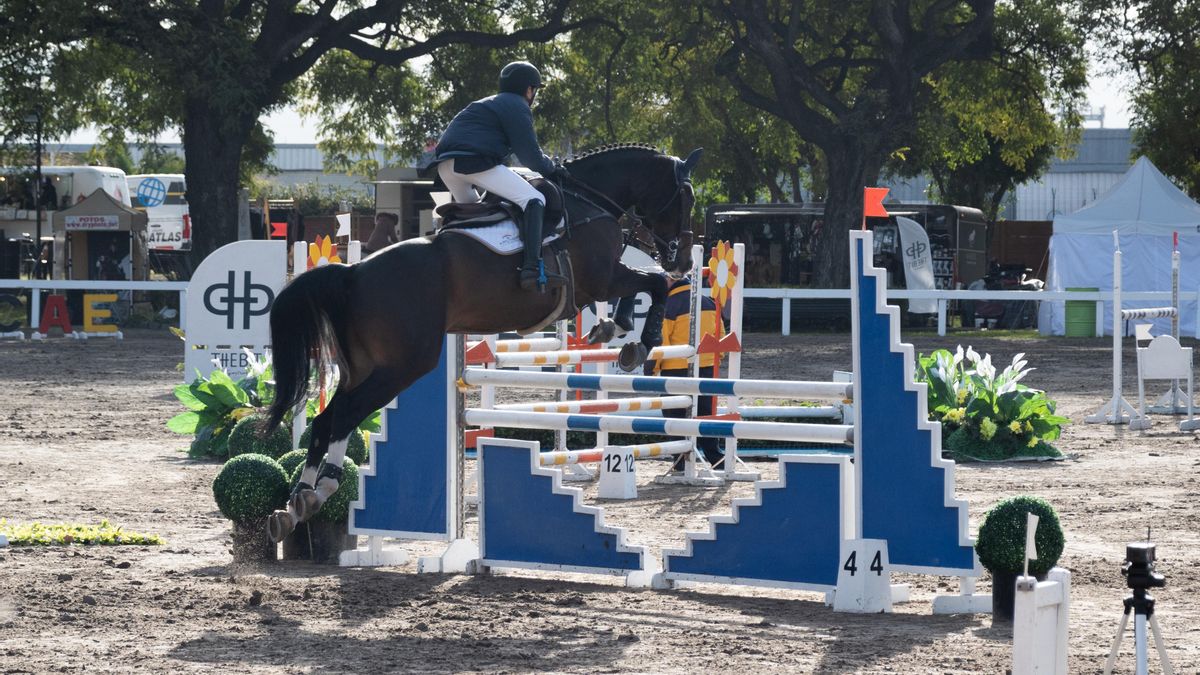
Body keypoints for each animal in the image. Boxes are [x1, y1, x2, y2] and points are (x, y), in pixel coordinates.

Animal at [263, 144, 703, 541]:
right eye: (687, 197)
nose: (682, 260)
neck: (589, 201)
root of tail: (352, 273)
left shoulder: (607, 279)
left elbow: (644, 286)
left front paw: (614, 328)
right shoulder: (604, 277)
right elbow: (655, 284)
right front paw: (639, 342)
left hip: (364, 367)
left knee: (326, 418)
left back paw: (297, 503)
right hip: (403, 366)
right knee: (344, 415)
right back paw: (322, 489)